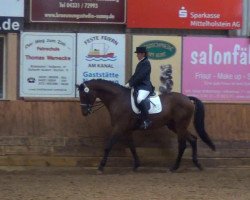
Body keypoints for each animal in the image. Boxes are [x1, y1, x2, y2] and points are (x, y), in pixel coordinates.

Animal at [75, 79, 215, 173]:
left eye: (85, 94)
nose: (84, 112)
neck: (118, 99)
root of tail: (187, 98)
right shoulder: (126, 130)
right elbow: (132, 147)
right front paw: (136, 165)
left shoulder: (119, 127)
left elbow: (108, 145)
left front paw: (101, 166)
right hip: (174, 126)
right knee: (193, 139)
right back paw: (197, 164)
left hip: (180, 125)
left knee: (182, 145)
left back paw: (174, 167)